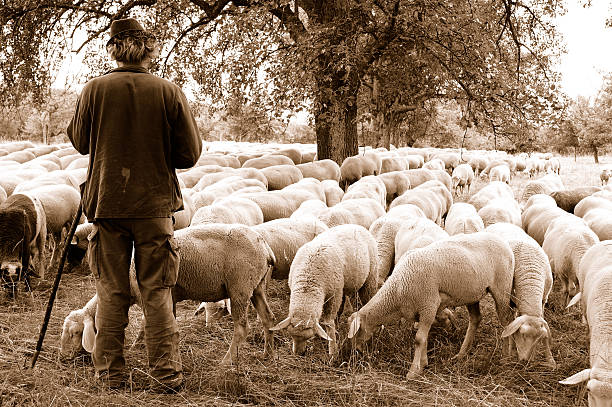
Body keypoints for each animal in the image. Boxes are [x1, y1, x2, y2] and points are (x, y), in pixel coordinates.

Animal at [272, 223, 378, 356]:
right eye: (291, 336)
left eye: (308, 337)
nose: (299, 353)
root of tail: (356, 225)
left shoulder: (334, 296)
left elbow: (329, 322)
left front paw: (332, 350)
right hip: (343, 286)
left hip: (369, 278)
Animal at [346, 233, 512, 380]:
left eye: (358, 331)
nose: (355, 353)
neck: (397, 291)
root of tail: (502, 240)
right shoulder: (422, 311)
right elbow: (424, 338)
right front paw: (423, 364)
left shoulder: (429, 306)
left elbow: (419, 339)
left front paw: (413, 372)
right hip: (473, 294)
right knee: (476, 319)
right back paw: (461, 354)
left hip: (502, 288)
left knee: (507, 322)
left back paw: (506, 357)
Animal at [486, 223, 556, 370]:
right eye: (522, 334)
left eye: (538, 338)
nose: (525, 361)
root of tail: (500, 223)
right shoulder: (511, 301)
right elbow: (510, 325)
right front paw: (510, 352)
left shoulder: (543, 300)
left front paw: (549, 359)